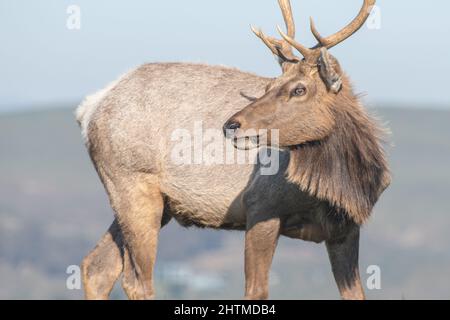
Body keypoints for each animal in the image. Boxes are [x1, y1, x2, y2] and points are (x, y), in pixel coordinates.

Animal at [77, 0, 390, 300]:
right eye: (269, 84)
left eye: (299, 89)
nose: (231, 124)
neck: (341, 189)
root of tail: (90, 108)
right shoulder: (261, 205)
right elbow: (256, 290)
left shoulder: (346, 229)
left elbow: (356, 294)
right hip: (133, 184)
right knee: (136, 280)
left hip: (152, 202)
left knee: (97, 266)